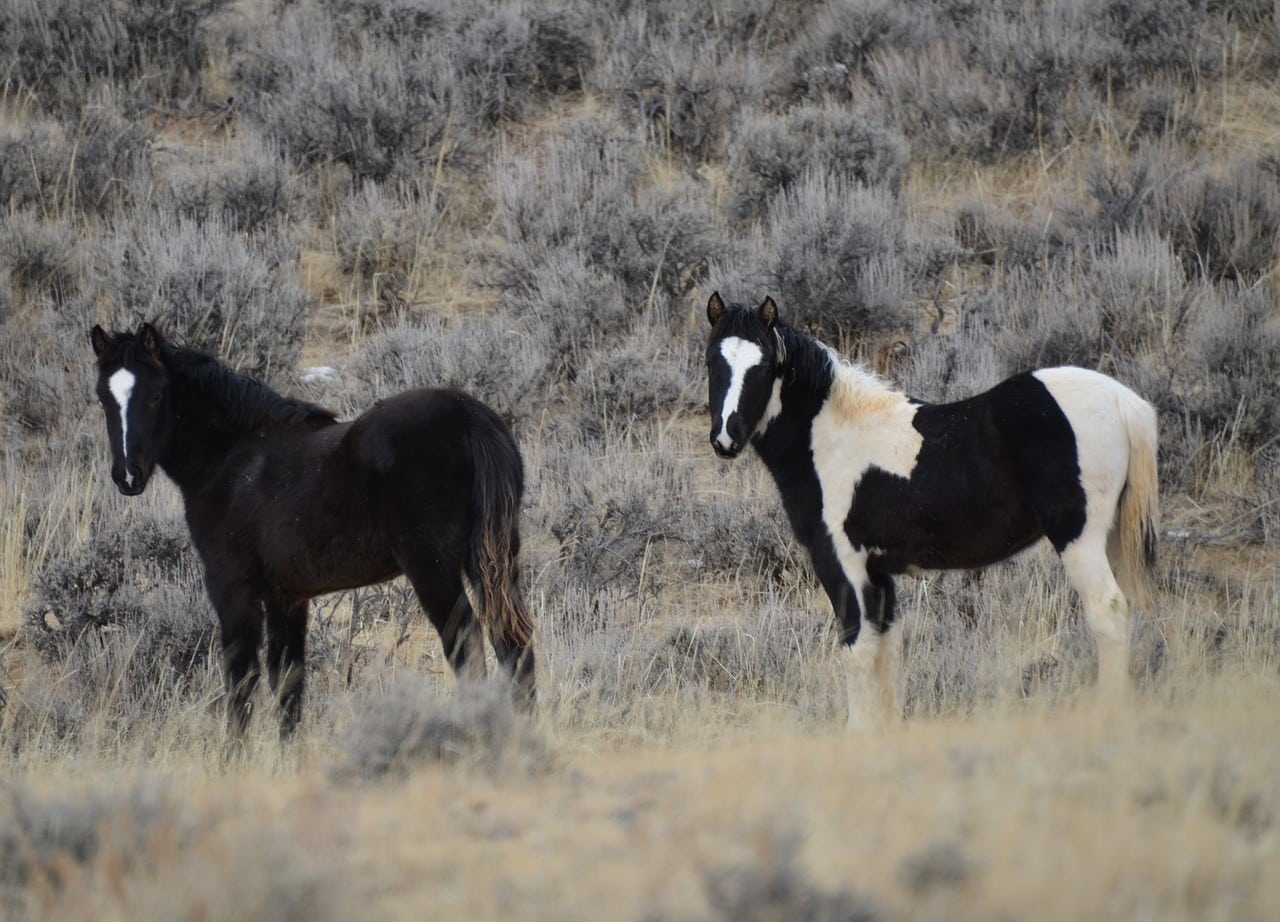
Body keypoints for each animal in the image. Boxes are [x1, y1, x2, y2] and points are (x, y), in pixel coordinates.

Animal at [90, 320, 529, 737]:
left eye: (154, 396)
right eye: (103, 399)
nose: (127, 476)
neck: (230, 458)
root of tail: (470, 415)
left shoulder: (232, 590)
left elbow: (242, 685)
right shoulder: (287, 597)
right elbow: (288, 686)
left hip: (433, 569)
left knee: (470, 651)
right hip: (497, 561)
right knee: (515, 644)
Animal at [706, 295, 1167, 727]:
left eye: (765, 366)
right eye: (712, 361)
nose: (726, 438)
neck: (831, 438)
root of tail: (1123, 401)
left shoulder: (842, 563)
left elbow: (857, 650)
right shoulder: (879, 572)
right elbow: (887, 651)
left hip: (1079, 537)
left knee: (1107, 611)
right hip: (1112, 537)